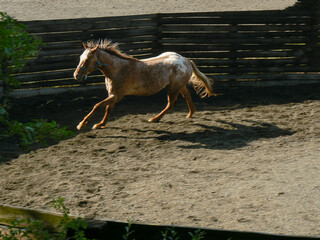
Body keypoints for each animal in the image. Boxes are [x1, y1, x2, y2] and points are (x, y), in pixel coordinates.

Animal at [72, 39, 212, 129]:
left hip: (173, 88)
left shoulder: (117, 95)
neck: (117, 69)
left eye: (87, 60)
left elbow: (97, 106)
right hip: (179, 86)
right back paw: (190, 114)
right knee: (187, 96)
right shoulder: (112, 94)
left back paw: (154, 119)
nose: (76, 75)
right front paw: (101, 124)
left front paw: (81, 124)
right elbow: (107, 109)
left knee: (171, 104)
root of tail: (187, 60)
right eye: (80, 58)